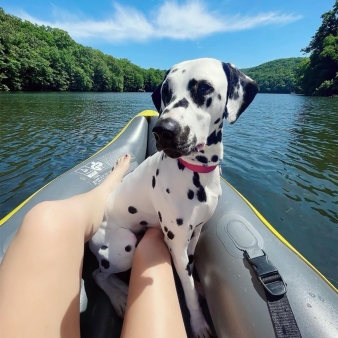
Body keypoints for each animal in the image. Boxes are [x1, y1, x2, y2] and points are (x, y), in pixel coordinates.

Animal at [88, 57, 258, 336]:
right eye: (166, 92)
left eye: (204, 88)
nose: (162, 130)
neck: (196, 171)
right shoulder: (176, 243)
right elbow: (187, 292)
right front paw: (198, 323)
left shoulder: (194, 234)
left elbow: (190, 270)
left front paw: (198, 287)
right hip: (124, 245)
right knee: (98, 275)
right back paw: (120, 296)